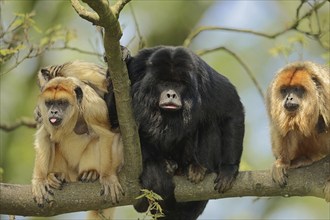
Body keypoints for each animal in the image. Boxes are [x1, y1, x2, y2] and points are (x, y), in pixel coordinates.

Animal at [266, 61, 328, 202]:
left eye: (297, 89)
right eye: (285, 90)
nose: (289, 98)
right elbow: (282, 131)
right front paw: (282, 163)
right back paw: (305, 159)